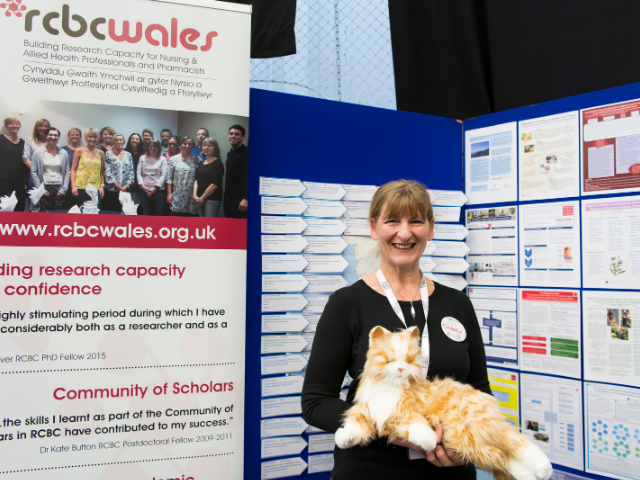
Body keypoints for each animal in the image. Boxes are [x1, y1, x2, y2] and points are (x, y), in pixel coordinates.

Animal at [338, 326, 552, 480]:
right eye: (388, 360)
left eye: (408, 360)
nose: (400, 368)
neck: (391, 387)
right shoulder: (370, 410)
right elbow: (355, 423)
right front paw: (344, 439)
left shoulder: (409, 412)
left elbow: (417, 426)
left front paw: (429, 440)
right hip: (468, 442)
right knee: (504, 458)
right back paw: (529, 475)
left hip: (480, 424)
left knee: (517, 442)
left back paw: (544, 468)